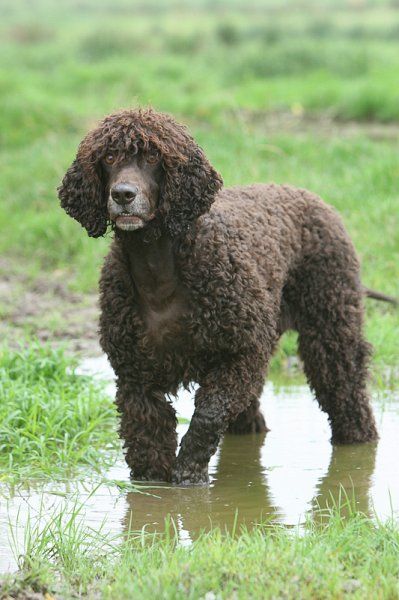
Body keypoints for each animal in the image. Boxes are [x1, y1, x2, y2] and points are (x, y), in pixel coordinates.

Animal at [57, 106, 382, 482]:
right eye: (109, 157)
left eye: (153, 157)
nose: (123, 195)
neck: (160, 268)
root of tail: (309, 195)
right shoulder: (136, 377)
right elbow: (146, 441)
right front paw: (154, 490)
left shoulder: (239, 353)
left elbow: (208, 416)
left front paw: (188, 475)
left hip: (331, 328)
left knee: (347, 394)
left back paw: (359, 446)